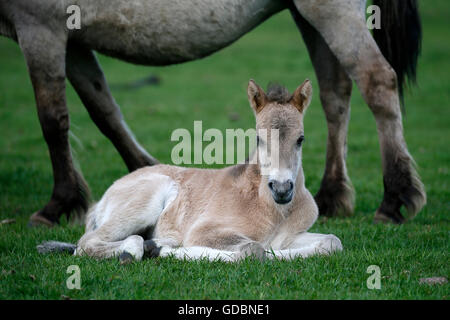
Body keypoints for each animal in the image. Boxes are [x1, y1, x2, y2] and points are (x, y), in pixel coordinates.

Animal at [0, 0, 424, 225]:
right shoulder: (73, 40)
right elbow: (104, 110)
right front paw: (145, 173)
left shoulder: (41, 27)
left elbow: (52, 120)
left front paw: (58, 204)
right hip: (307, 14)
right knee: (335, 93)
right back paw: (333, 195)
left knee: (377, 82)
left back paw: (394, 197)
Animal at [40, 79, 342, 262]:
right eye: (258, 138)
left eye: (300, 139)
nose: (281, 189)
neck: (272, 210)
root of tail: (103, 199)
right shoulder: (205, 231)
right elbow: (253, 249)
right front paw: (168, 250)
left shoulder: (290, 237)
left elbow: (332, 242)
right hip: (143, 203)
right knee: (88, 243)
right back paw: (141, 249)